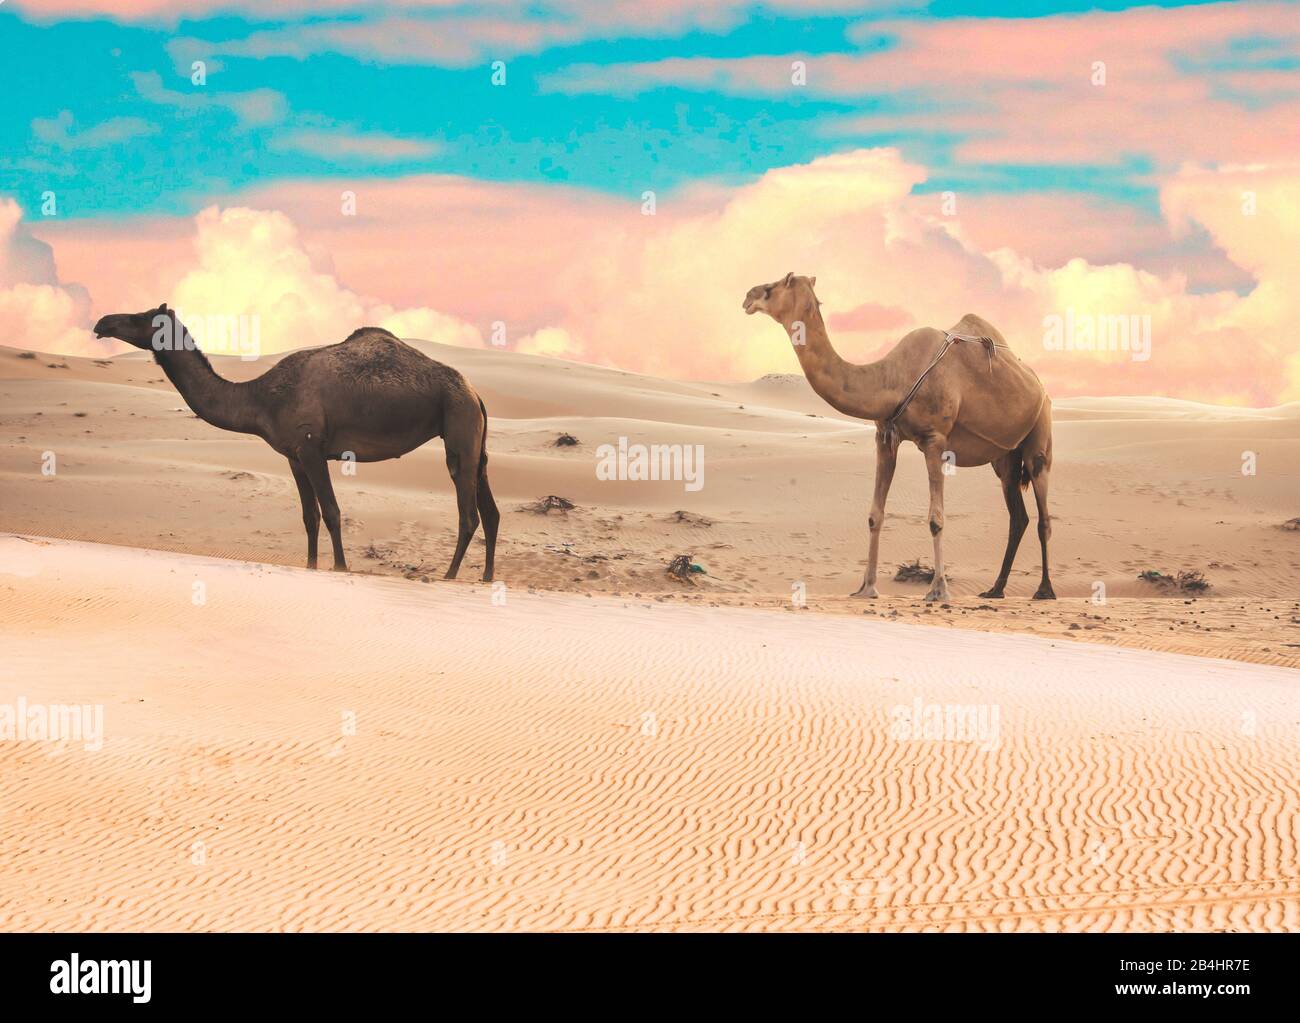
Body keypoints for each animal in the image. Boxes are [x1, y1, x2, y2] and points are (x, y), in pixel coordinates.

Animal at [93, 305, 499, 581]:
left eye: (140, 317)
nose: (102, 323)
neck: (262, 398)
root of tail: (475, 391)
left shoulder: (310, 447)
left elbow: (331, 511)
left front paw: (339, 567)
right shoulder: (293, 456)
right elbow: (309, 516)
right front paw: (310, 565)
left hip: (458, 424)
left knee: (468, 512)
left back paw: (449, 576)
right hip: (474, 438)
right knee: (490, 510)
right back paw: (486, 577)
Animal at [743, 273, 1054, 602]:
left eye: (775, 285)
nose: (748, 296)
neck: (892, 378)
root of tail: (1039, 386)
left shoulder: (935, 439)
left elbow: (936, 519)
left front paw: (938, 590)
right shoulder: (884, 435)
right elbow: (874, 514)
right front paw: (866, 588)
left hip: (1040, 433)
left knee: (1043, 511)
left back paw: (1044, 589)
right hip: (1005, 457)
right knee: (1018, 516)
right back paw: (995, 589)